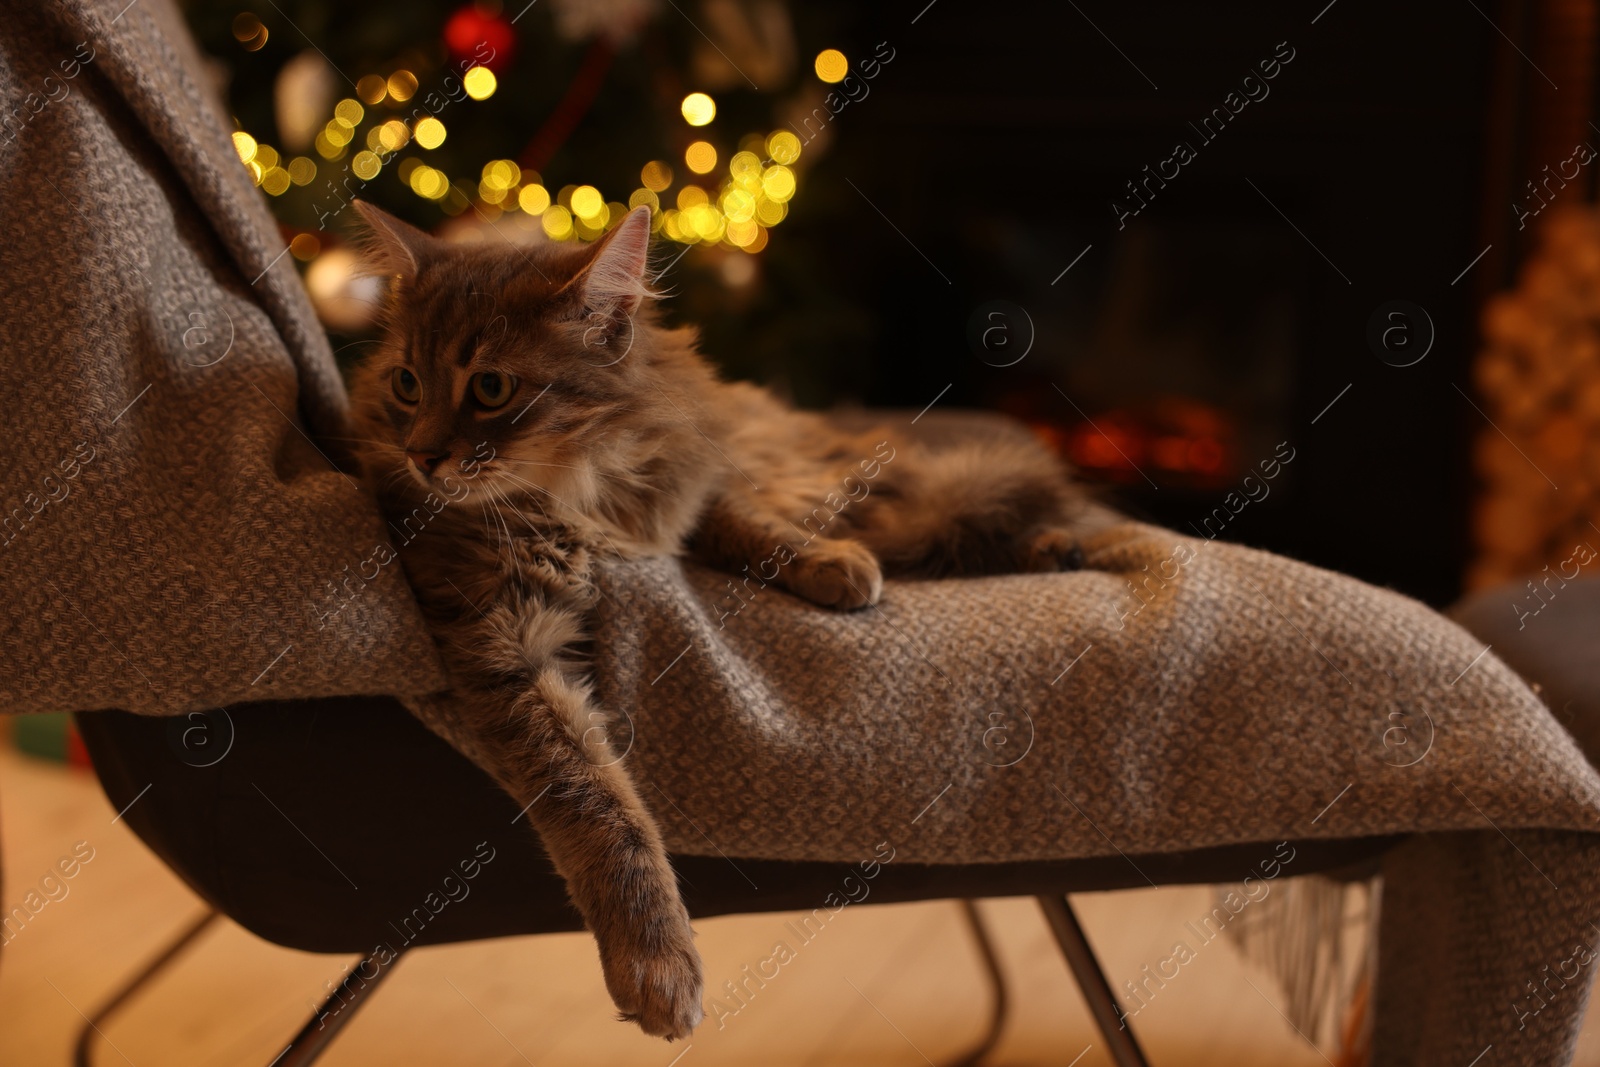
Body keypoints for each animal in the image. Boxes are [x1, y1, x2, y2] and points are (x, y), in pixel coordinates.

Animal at [345, 195, 1094, 1036]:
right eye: (407, 383)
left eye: (493, 387)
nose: (421, 456)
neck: (578, 488)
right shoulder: (506, 647)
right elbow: (602, 806)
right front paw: (656, 963)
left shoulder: (698, 484)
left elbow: (743, 521)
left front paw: (828, 564)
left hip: (837, 473)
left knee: (935, 512)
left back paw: (1052, 544)